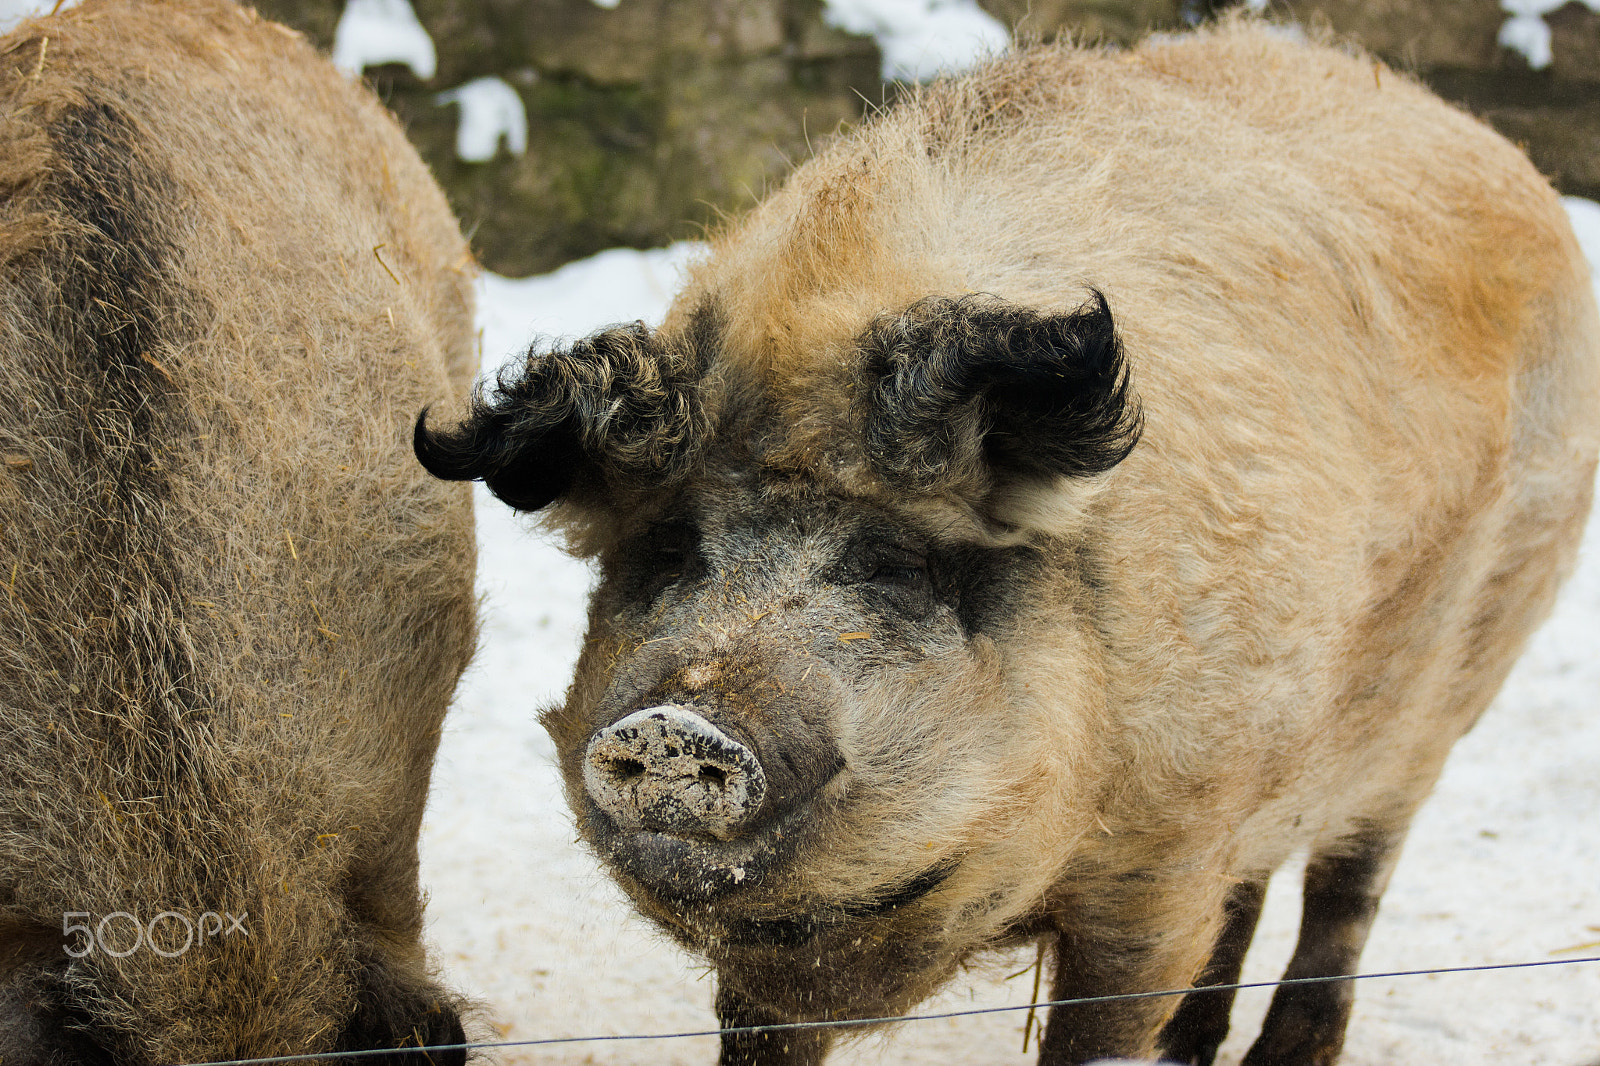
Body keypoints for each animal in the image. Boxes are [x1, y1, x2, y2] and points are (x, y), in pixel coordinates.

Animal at [416, 18, 1600, 1062]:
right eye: (670, 551)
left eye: (890, 565)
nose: (677, 721)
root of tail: (1487, 144)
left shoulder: (1157, 872)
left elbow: (1110, 1022)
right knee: (1257, 883)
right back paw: (1197, 1050)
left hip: (1449, 692)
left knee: (1350, 880)